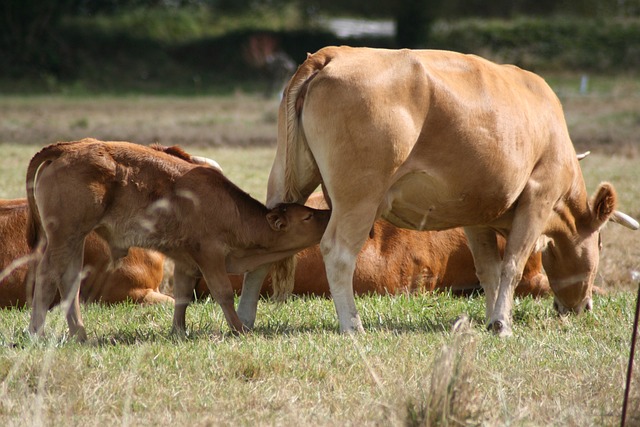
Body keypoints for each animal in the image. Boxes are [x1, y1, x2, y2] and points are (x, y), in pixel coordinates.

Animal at [25, 139, 330, 342]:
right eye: (307, 217)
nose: (328, 213)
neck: (231, 210)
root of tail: (67, 148)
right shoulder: (209, 255)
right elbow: (223, 293)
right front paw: (239, 329)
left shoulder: (185, 262)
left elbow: (182, 297)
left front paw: (179, 332)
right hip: (67, 236)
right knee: (51, 276)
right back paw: (46, 333)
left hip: (71, 240)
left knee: (64, 279)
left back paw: (71, 334)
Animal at [238, 45, 636, 336]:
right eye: (600, 243)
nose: (582, 307)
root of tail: (333, 53)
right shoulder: (538, 198)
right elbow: (511, 265)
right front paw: (502, 324)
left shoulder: (476, 214)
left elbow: (488, 270)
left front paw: (489, 318)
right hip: (359, 196)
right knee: (337, 252)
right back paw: (352, 325)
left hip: (287, 179)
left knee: (268, 239)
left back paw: (243, 319)